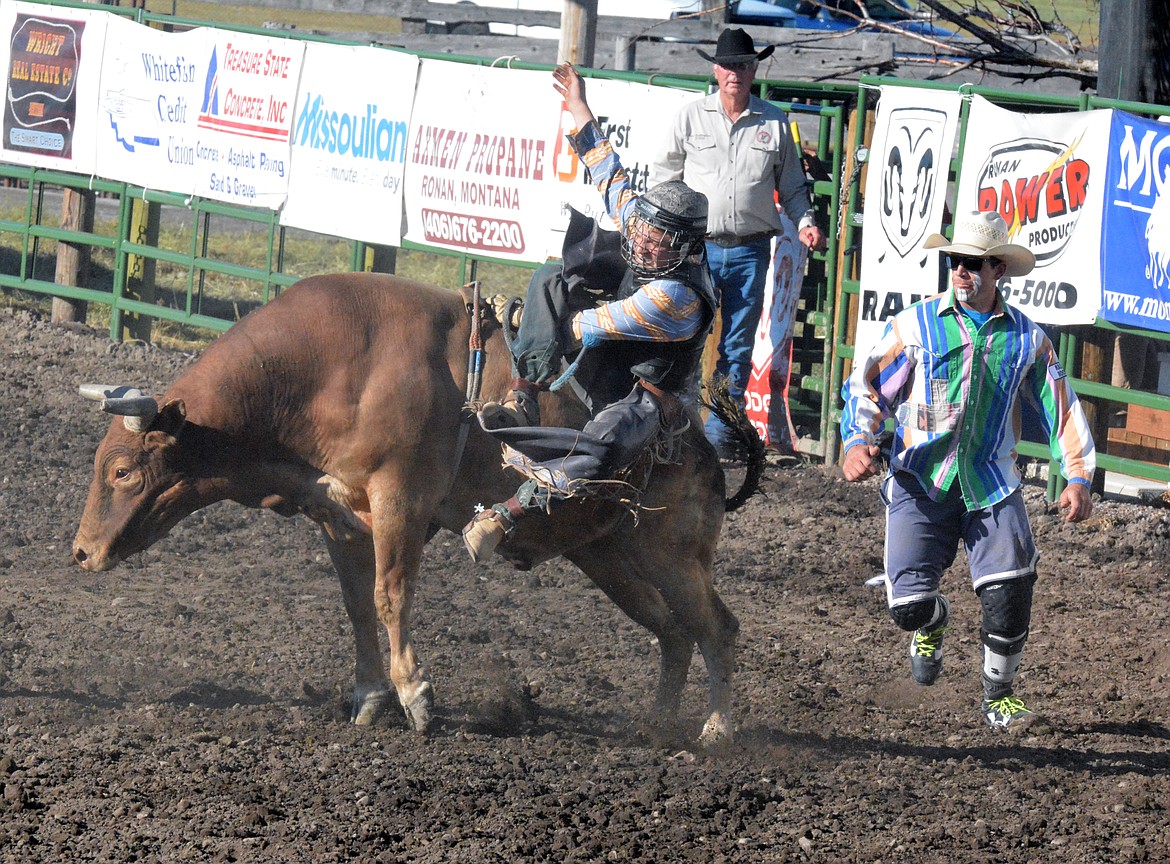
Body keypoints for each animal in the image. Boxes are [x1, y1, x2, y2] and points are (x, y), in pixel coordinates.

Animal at [73, 273, 739, 739]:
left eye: (123, 471)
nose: (81, 552)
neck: (328, 371)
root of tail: (699, 447)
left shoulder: (400, 502)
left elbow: (389, 595)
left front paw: (415, 696)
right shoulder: (338, 515)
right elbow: (356, 604)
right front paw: (369, 696)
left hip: (669, 553)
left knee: (717, 627)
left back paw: (716, 730)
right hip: (609, 555)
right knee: (673, 632)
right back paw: (659, 724)